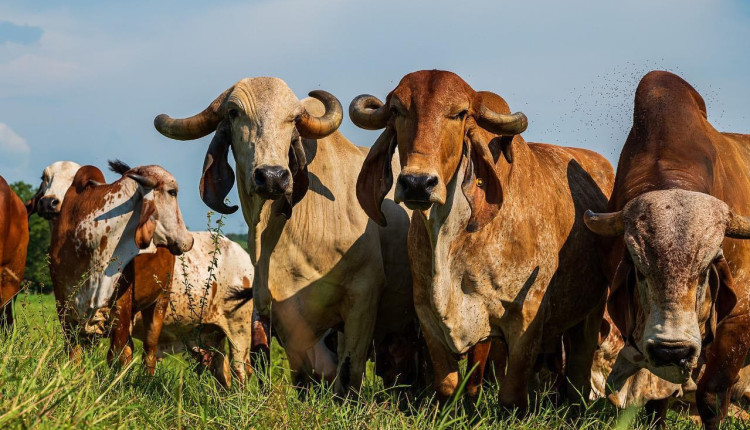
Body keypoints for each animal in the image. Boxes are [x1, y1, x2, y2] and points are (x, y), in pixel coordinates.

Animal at [153, 76, 420, 394]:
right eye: (234, 113)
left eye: (293, 119)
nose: (271, 177)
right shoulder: (280, 315)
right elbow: (301, 377)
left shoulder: (362, 300)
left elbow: (350, 371)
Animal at [352, 69, 616, 410]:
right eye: (397, 110)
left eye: (460, 113)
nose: (417, 183)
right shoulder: (427, 314)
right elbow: (450, 384)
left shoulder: (525, 318)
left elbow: (510, 395)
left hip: (591, 316)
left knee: (578, 376)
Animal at [588, 69, 750, 426]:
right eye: (640, 270)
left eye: (705, 271)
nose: (673, 349)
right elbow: (655, 402)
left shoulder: (739, 317)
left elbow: (711, 396)